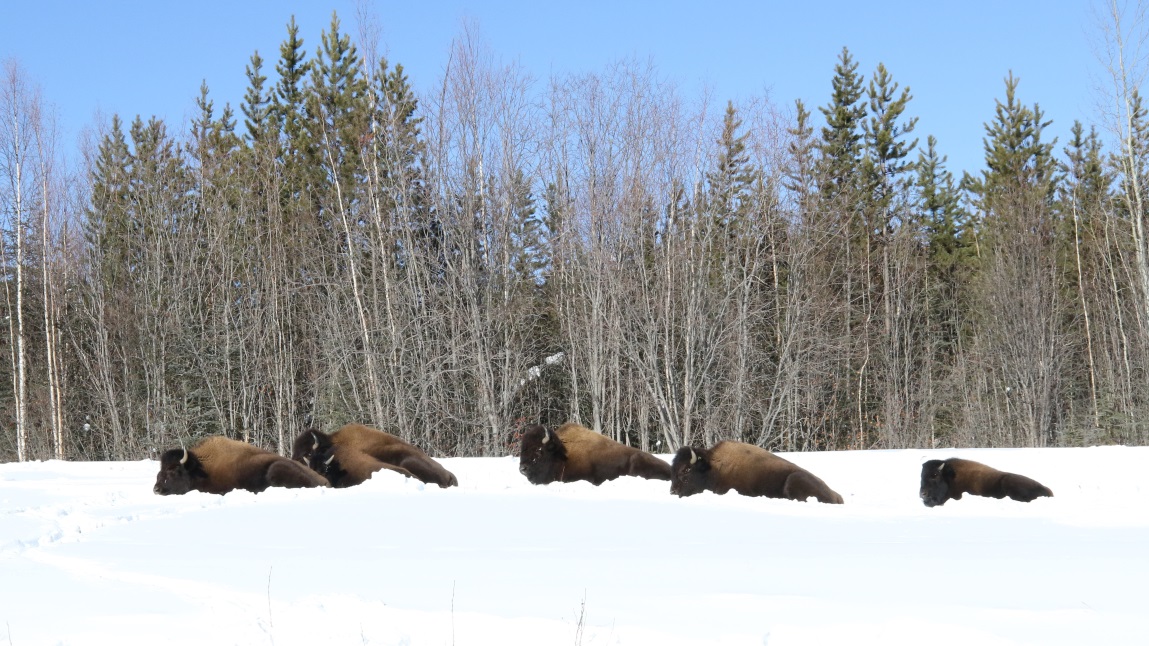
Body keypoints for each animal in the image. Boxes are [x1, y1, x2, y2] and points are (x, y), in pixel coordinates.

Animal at [153, 436, 330, 495]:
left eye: (174, 470)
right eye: (159, 471)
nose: (156, 489)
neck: (199, 468)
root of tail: (324, 481)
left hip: (276, 468)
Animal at [670, 441, 844, 504]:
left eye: (686, 469)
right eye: (673, 470)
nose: (673, 491)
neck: (711, 467)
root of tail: (837, 496)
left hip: (793, 479)